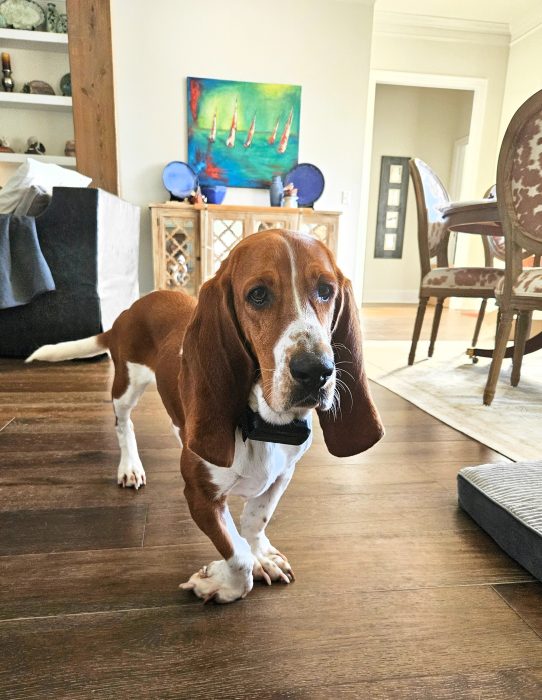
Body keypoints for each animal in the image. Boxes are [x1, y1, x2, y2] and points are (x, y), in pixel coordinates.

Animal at [25, 228, 382, 600]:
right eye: (257, 295)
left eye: (326, 290)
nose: (316, 371)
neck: (263, 425)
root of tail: (127, 312)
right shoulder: (200, 496)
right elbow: (236, 556)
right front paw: (219, 582)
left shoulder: (282, 476)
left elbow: (256, 520)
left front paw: (262, 555)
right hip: (126, 385)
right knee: (123, 425)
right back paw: (130, 466)